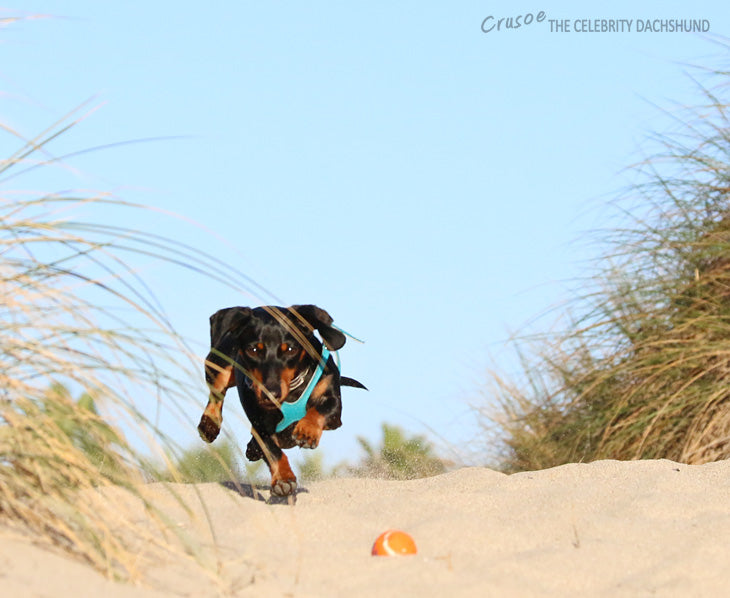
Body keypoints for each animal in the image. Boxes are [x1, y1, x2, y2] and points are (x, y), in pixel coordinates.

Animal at [196, 304, 364, 496]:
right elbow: (272, 450)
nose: (270, 393)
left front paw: (307, 430)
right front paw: (284, 479)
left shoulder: (334, 411)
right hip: (220, 363)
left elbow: (321, 409)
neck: (292, 390)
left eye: (290, 349)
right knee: (217, 392)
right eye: (253, 350)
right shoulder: (260, 424)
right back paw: (209, 424)